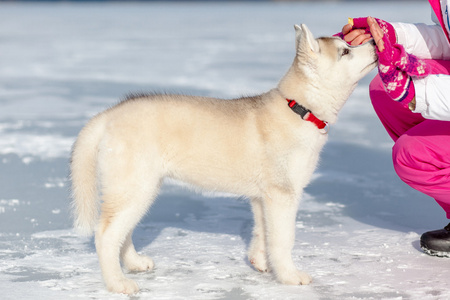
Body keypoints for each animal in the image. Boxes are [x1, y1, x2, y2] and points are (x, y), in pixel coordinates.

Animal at [70, 24, 378, 296]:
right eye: (345, 51)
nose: (375, 44)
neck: (298, 109)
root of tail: (108, 115)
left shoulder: (262, 196)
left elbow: (262, 231)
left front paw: (259, 262)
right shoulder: (283, 193)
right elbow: (283, 239)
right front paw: (289, 276)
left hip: (141, 188)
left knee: (122, 231)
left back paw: (134, 263)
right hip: (134, 186)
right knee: (106, 235)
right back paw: (117, 283)